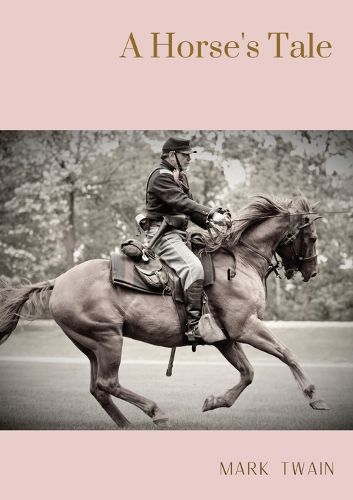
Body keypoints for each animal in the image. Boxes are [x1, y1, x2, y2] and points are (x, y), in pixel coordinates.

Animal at [0, 193, 328, 428]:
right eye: (312, 237)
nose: (311, 271)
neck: (240, 260)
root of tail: (58, 281)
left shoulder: (224, 338)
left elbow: (247, 373)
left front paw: (215, 401)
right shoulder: (246, 326)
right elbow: (286, 354)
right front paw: (314, 397)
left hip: (91, 346)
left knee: (99, 389)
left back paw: (127, 425)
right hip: (108, 340)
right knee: (108, 383)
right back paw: (156, 412)